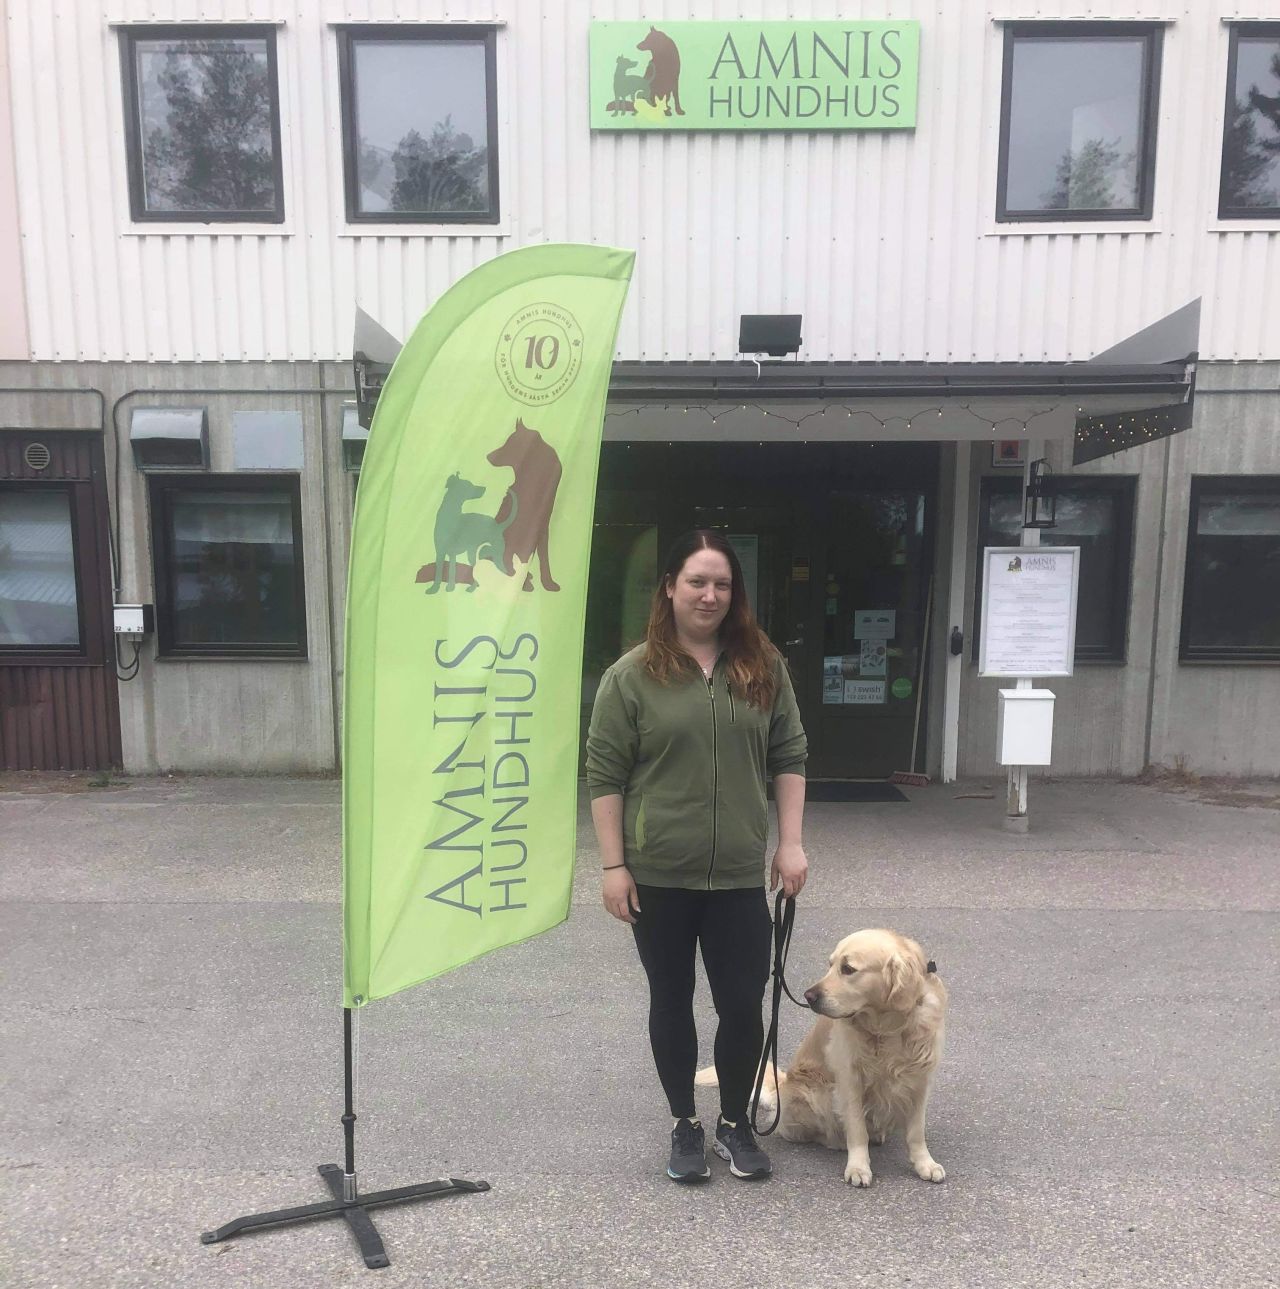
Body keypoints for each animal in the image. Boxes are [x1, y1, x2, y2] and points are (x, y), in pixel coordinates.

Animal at [696, 928, 943, 1185]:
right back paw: (838, 1142)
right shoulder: (849, 1079)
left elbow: (916, 1131)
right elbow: (857, 1129)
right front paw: (858, 1167)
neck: (887, 1028)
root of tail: (781, 1087)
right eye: (830, 965)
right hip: (818, 1094)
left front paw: (925, 1164)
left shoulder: (920, 1078)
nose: (808, 996)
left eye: (848, 969)